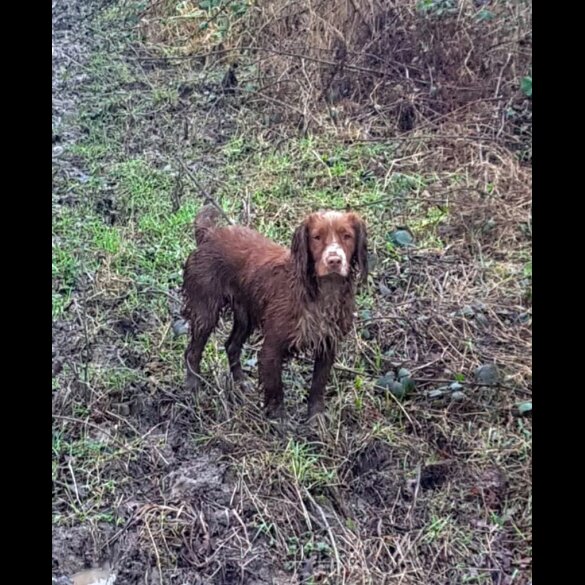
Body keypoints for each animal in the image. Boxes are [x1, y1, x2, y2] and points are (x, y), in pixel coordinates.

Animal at [180, 205, 368, 420]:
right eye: (316, 237)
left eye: (347, 236)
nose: (334, 260)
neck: (321, 292)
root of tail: (208, 234)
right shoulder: (272, 347)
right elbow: (275, 388)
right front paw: (279, 420)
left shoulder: (327, 345)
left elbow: (318, 385)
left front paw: (316, 417)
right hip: (206, 311)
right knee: (193, 352)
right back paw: (193, 386)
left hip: (245, 316)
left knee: (232, 346)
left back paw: (240, 382)